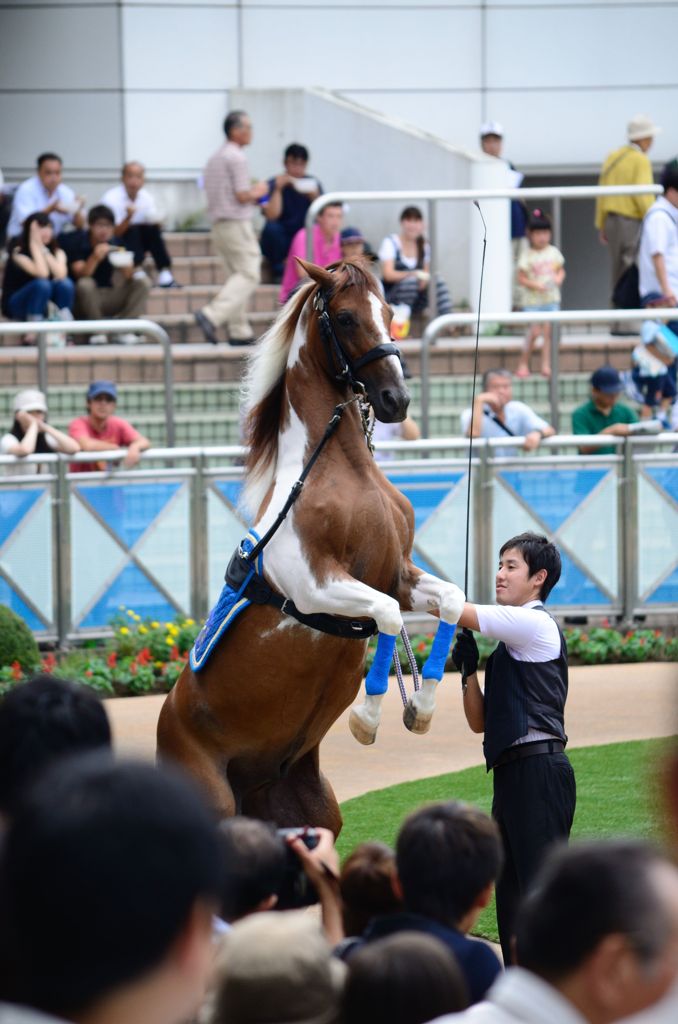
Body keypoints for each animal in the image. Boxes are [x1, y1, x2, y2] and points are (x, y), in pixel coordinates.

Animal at [157, 258, 467, 831]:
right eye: (344, 318)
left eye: (388, 311)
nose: (396, 400)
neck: (336, 471)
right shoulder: (315, 584)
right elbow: (386, 614)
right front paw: (367, 718)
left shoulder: (399, 572)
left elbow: (452, 602)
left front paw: (422, 708)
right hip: (216, 806)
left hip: (316, 812)